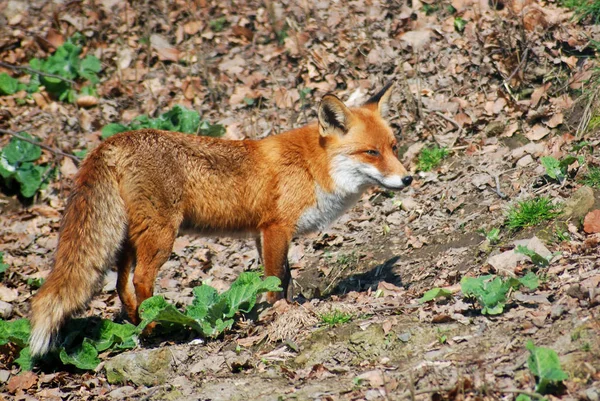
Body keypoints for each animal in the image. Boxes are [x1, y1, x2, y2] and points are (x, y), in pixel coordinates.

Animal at [28, 83, 412, 354]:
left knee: (121, 286)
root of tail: (114, 140)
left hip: (128, 238)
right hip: (161, 235)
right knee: (140, 281)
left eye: (394, 147)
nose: (407, 179)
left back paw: (138, 326)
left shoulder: (262, 233)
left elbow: (282, 278)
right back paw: (154, 330)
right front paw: (280, 315)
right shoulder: (276, 229)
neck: (312, 166)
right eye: (371, 152)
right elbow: (275, 281)